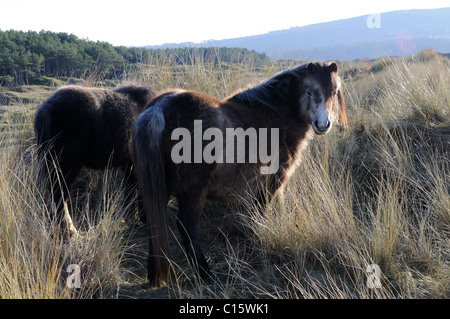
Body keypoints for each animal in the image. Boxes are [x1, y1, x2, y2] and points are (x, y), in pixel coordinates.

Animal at [34, 85, 156, 235]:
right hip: (66, 167)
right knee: (59, 197)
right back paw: (70, 230)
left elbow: (129, 191)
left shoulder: (128, 165)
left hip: (51, 164)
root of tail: (48, 107)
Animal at [132, 61, 346, 286]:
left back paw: (154, 273)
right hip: (193, 191)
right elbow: (259, 215)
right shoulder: (268, 184)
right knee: (186, 225)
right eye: (309, 91)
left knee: (154, 220)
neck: (276, 115)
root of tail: (159, 108)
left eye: (334, 91)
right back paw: (205, 272)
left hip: (159, 187)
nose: (322, 125)